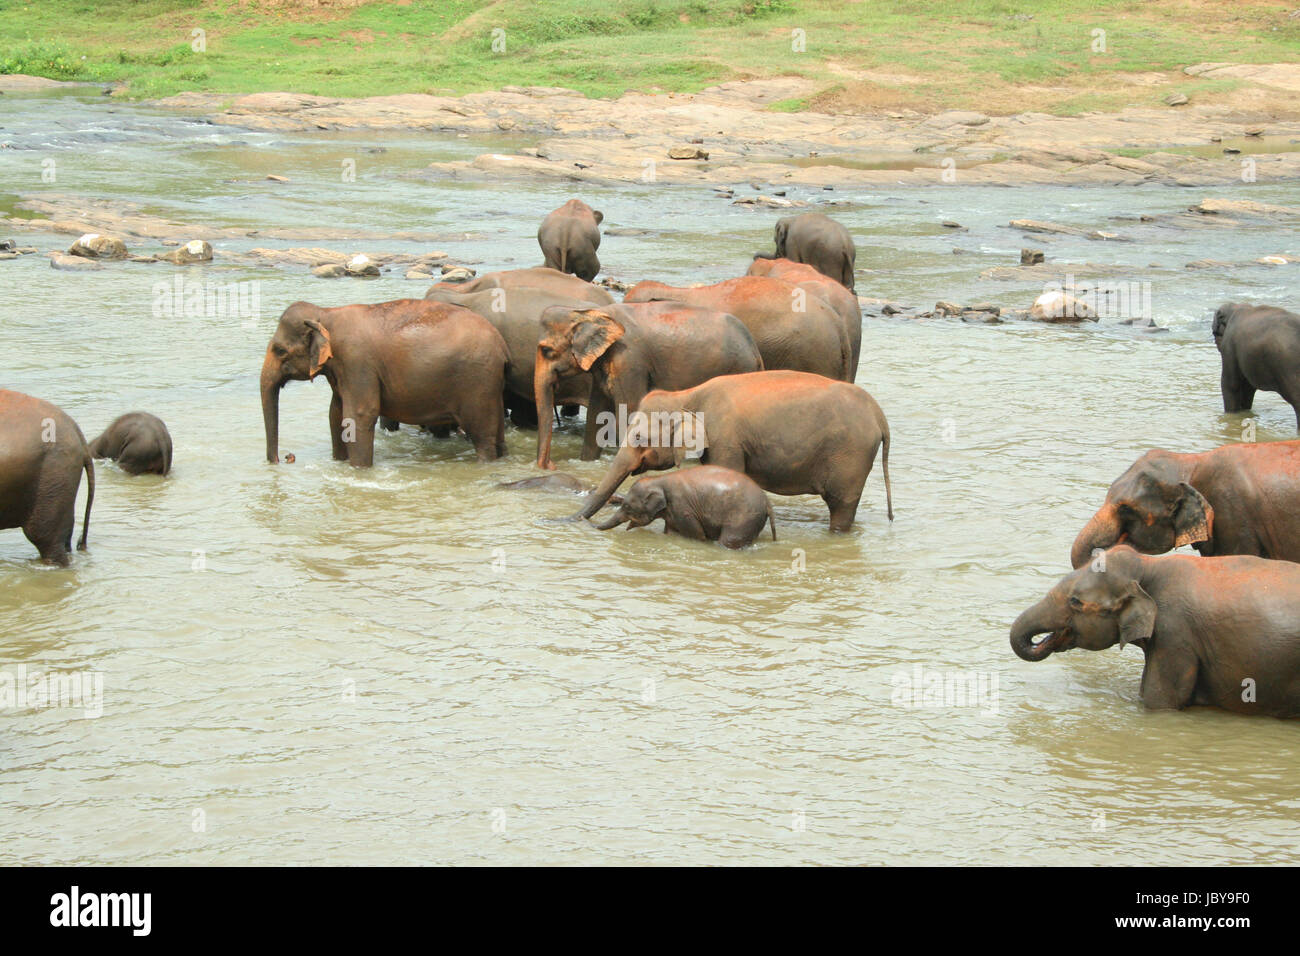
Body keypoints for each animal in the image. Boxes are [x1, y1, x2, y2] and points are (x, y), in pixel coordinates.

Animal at [261, 299, 509, 466]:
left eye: (280, 350)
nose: (285, 458)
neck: (326, 314)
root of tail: (502, 345)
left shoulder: (357, 361)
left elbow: (358, 415)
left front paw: (358, 470)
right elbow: (335, 413)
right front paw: (339, 463)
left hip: (478, 380)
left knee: (482, 433)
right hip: (491, 384)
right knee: (497, 431)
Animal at [533, 301, 765, 470]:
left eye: (546, 350)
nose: (550, 465)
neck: (593, 313)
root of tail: (755, 350)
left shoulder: (629, 362)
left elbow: (628, 411)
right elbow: (595, 416)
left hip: (738, 368)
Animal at [574, 370, 892, 532]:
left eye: (639, 437)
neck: (687, 395)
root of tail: (879, 416)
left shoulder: (726, 438)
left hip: (850, 456)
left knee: (841, 504)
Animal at [594, 465, 776, 549]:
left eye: (626, 506)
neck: (659, 480)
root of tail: (767, 502)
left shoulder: (683, 508)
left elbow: (697, 535)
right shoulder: (672, 513)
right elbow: (670, 532)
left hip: (743, 517)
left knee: (728, 540)